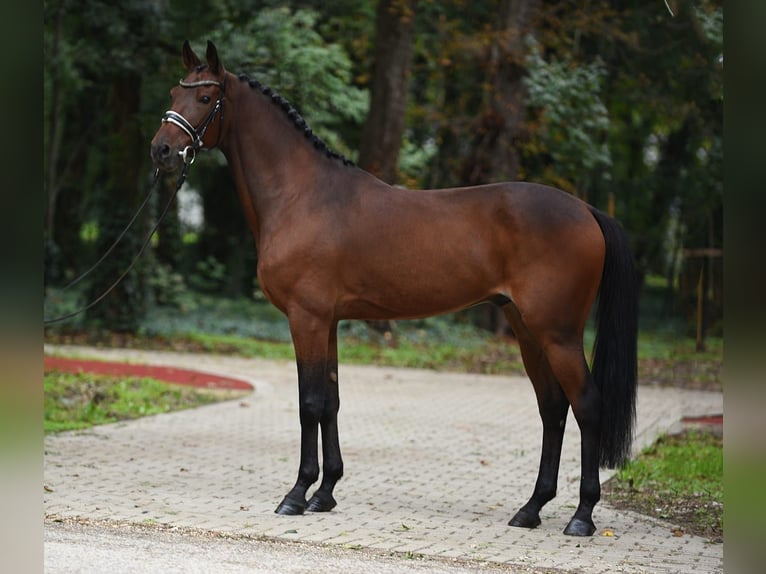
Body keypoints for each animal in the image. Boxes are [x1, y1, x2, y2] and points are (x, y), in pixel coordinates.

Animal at [152, 41, 640, 540]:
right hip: (526, 329)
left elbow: (309, 403)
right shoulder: (328, 322)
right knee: (553, 408)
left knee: (587, 406)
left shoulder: (306, 318)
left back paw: (582, 516)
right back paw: (531, 509)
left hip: (557, 334)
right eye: (174, 91)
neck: (301, 196)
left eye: (206, 98)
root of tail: (587, 210)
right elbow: (331, 402)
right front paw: (325, 495)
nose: (162, 150)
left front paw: (296, 495)